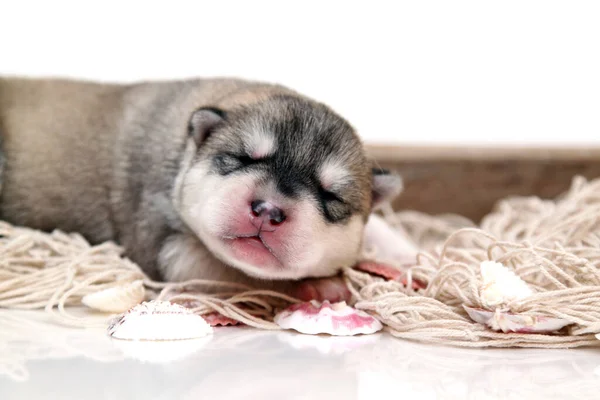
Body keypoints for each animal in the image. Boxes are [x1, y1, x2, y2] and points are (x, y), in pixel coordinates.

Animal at [1, 77, 404, 300]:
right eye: (242, 158)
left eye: (329, 195)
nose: (268, 210)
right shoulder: (167, 247)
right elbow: (243, 274)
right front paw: (317, 285)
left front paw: (404, 253)